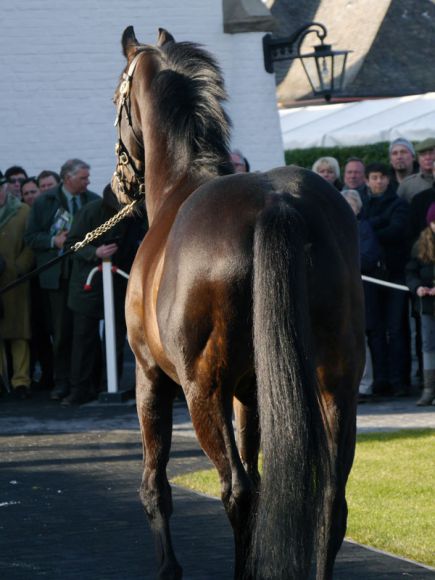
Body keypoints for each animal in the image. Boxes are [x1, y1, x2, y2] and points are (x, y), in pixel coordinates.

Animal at [111, 24, 364, 576]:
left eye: (117, 96)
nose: (120, 183)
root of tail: (277, 203)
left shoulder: (150, 376)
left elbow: (156, 485)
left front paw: (169, 567)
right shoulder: (251, 391)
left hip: (202, 390)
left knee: (238, 493)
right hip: (336, 383)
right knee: (331, 502)